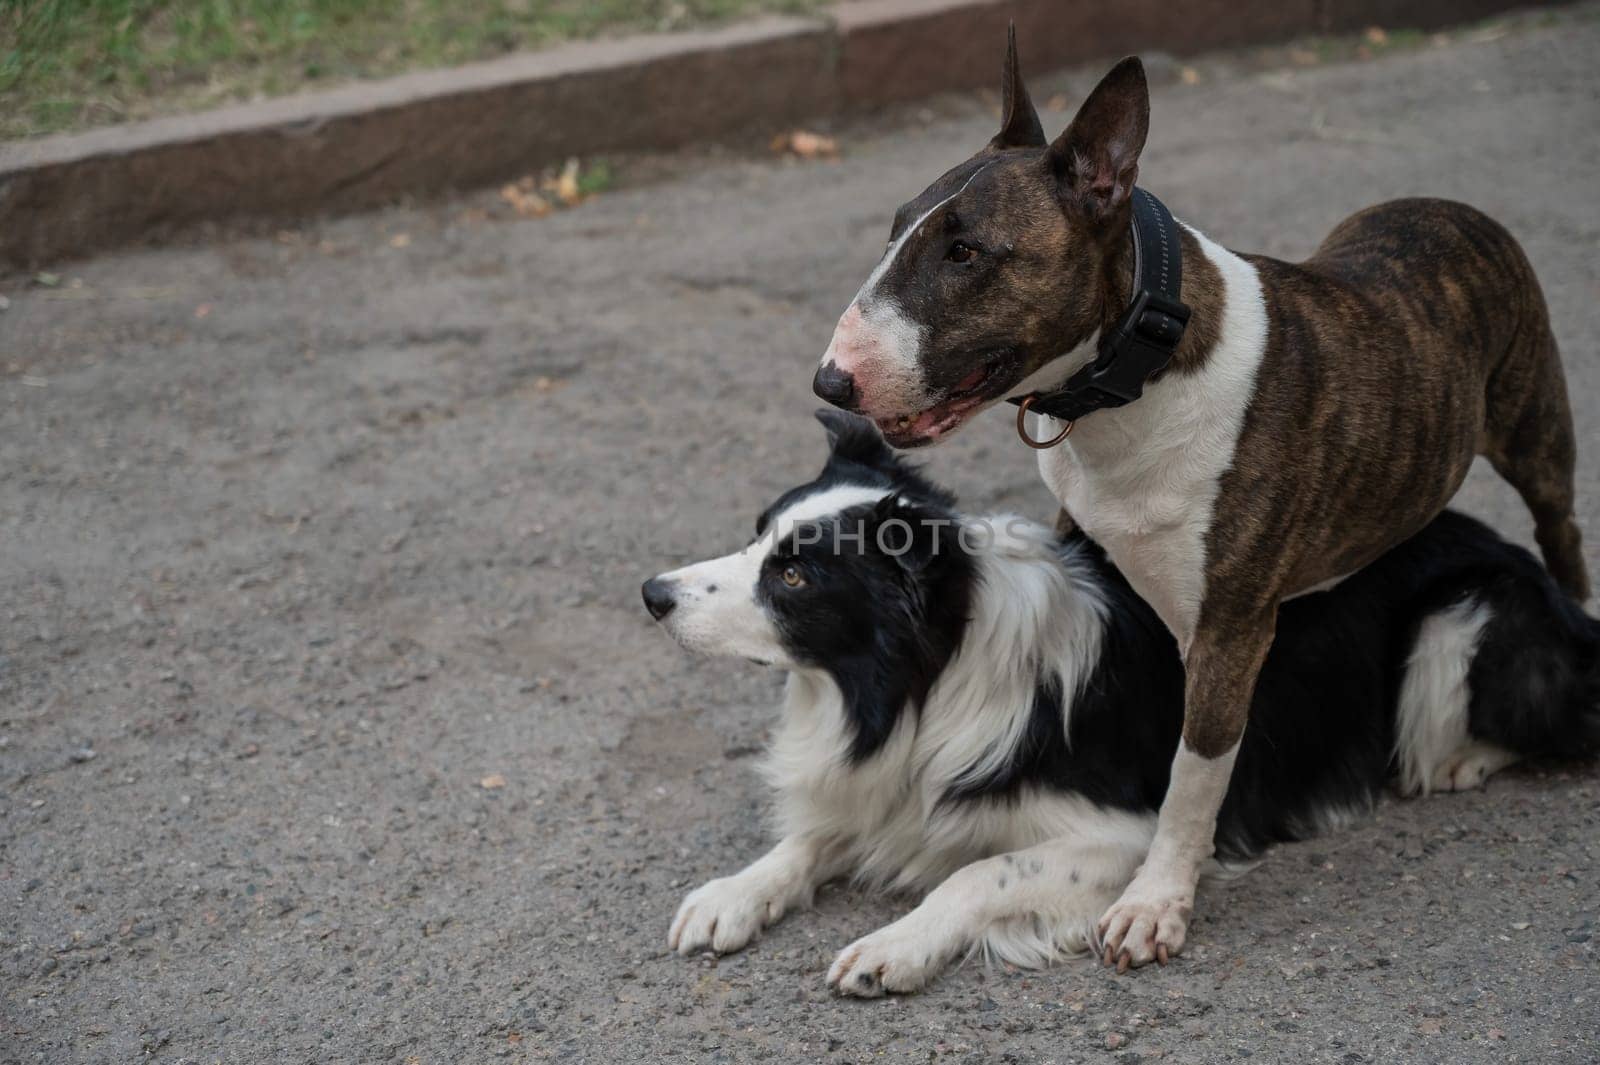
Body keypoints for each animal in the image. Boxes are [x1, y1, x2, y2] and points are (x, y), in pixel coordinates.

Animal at [640, 409, 1600, 991]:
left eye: (795, 576)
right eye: (758, 537)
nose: (652, 593)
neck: (918, 684)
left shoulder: (1130, 831)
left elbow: (979, 872)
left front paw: (895, 944)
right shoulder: (885, 782)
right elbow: (810, 836)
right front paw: (735, 891)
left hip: (1456, 620)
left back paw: (1462, 760)